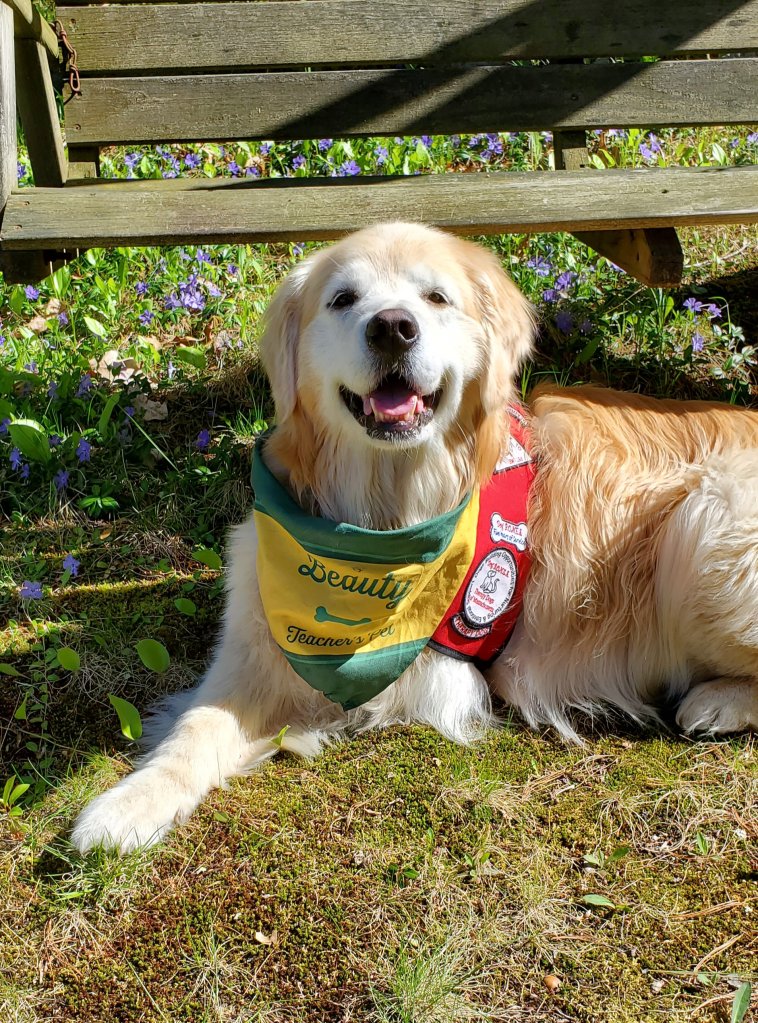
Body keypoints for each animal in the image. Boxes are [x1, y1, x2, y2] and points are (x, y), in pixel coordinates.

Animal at [71, 224, 756, 855]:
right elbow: (194, 730)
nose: (393, 328)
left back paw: (716, 704)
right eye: (343, 299)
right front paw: (125, 806)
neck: (390, 514)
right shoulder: (254, 650)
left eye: (436, 297)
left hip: (709, 518)